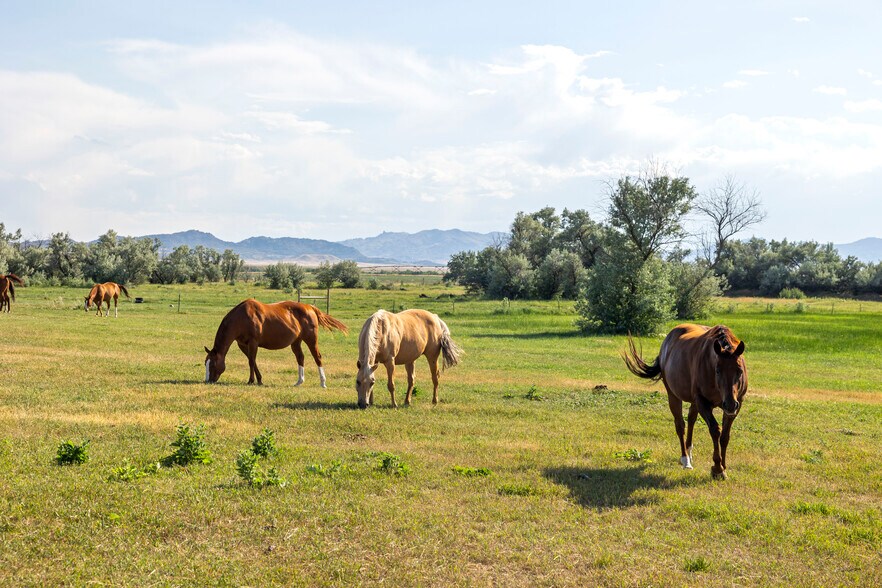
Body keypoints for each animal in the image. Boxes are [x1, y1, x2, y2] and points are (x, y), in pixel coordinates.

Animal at [204, 299, 348, 387]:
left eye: (213, 365)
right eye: (206, 363)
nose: (207, 381)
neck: (242, 318)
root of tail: (310, 307)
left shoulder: (253, 343)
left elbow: (251, 362)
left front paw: (251, 381)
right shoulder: (243, 345)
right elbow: (252, 361)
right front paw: (259, 380)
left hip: (311, 339)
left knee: (317, 357)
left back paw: (323, 383)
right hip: (296, 342)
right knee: (300, 358)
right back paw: (299, 381)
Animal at [623, 324, 748, 480]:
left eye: (739, 371)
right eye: (718, 371)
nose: (730, 404)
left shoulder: (737, 404)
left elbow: (725, 436)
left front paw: (724, 467)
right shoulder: (702, 402)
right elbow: (715, 430)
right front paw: (717, 468)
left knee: (691, 419)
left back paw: (689, 452)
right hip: (673, 396)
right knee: (680, 425)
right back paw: (685, 459)